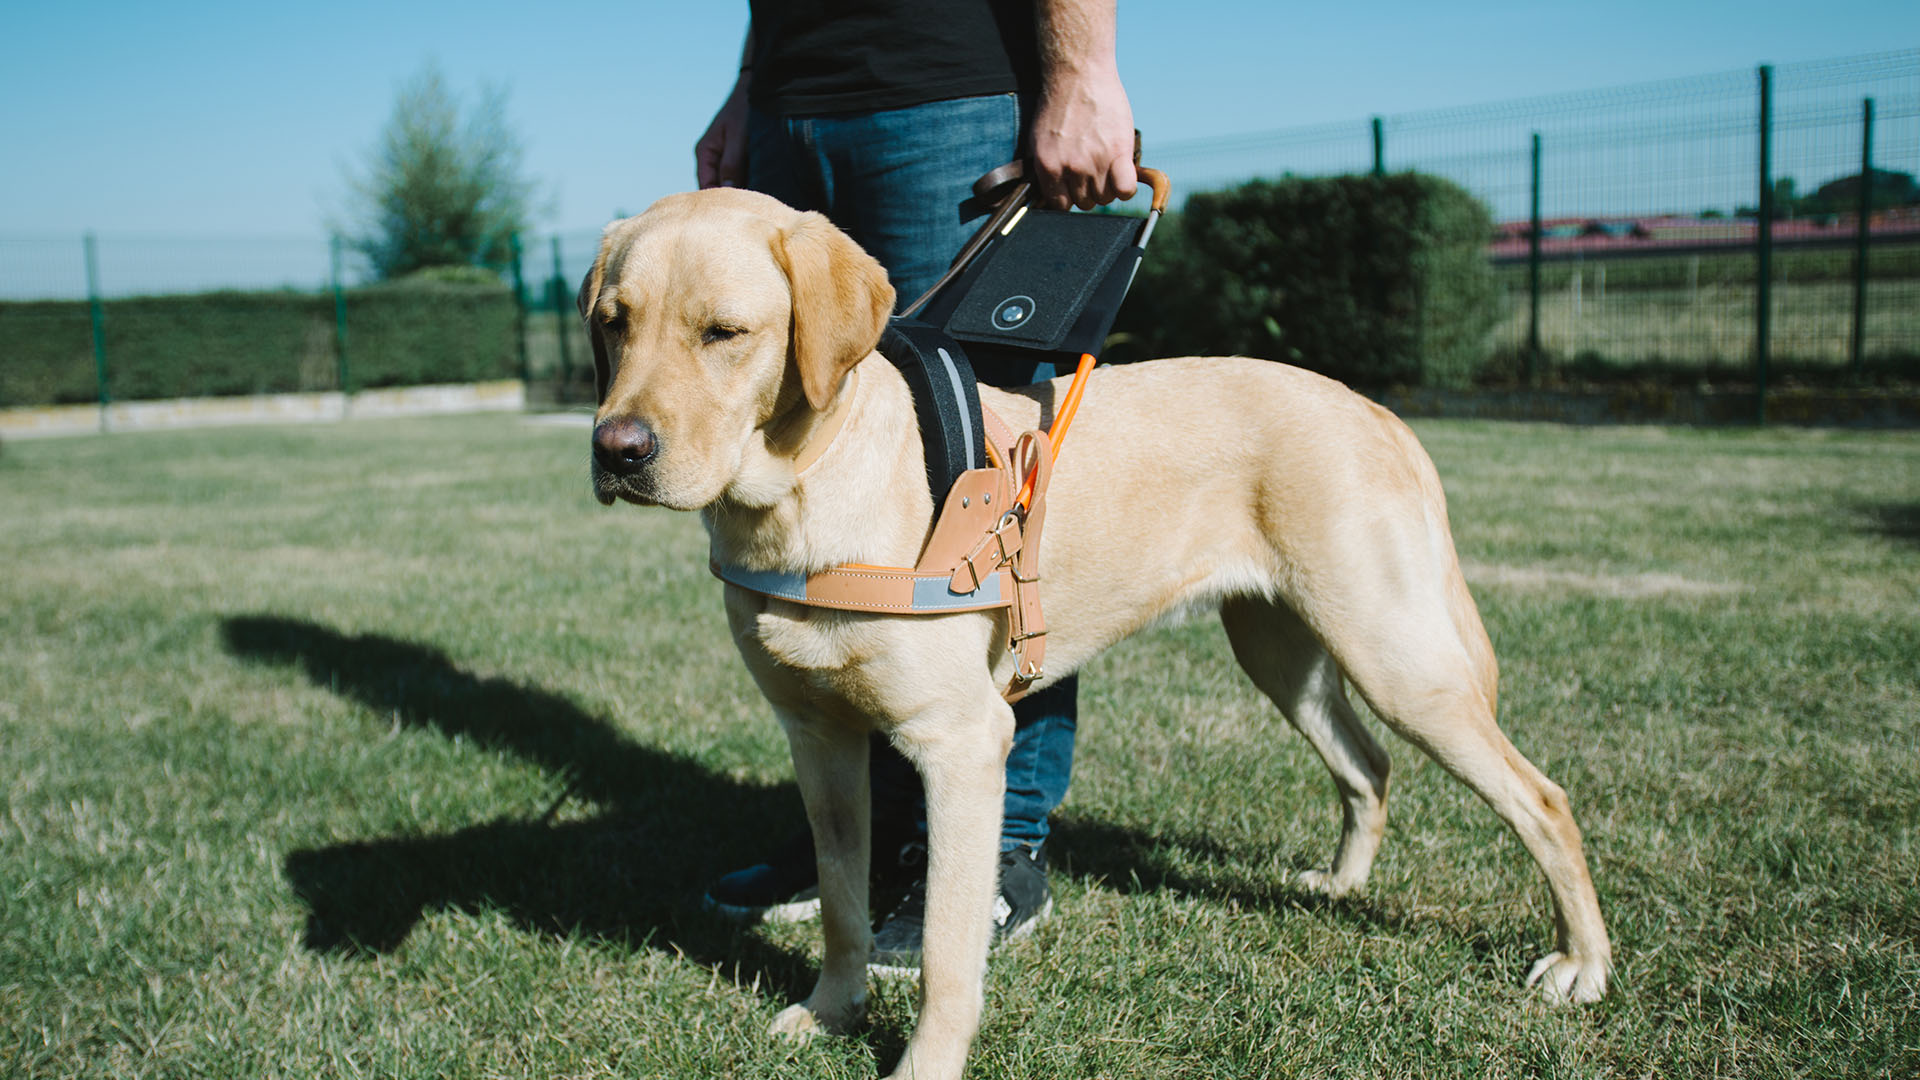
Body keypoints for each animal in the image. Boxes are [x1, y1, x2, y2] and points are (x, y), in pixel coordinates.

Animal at [576, 189, 1612, 1076]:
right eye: (612, 322)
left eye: (725, 333)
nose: (616, 450)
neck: (800, 495)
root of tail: (1373, 407)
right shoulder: (820, 739)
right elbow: (840, 904)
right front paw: (834, 1012)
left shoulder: (963, 746)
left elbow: (947, 949)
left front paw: (924, 1063)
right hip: (1283, 651)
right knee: (1368, 766)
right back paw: (1343, 886)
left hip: (1398, 658)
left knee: (1543, 798)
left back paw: (1581, 966)